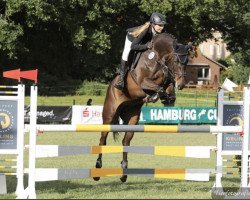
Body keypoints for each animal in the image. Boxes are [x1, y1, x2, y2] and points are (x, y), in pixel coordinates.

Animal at [93, 32, 193, 183]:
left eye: (186, 62)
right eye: (176, 61)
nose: (181, 85)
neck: (158, 57)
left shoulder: (167, 79)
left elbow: (167, 86)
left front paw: (167, 98)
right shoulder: (143, 81)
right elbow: (158, 88)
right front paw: (155, 96)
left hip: (132, 117)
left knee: (125, 141)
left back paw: (124, 172)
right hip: (109, 115)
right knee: (102, 140)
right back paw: (98, 169)